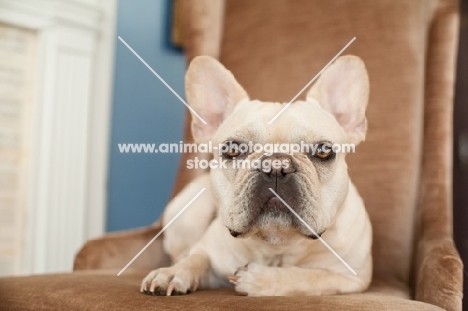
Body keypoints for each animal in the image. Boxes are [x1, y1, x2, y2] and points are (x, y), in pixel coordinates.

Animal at [141, 55, 372, 298]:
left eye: (323, 151)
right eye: (232, 149)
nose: (276, 165)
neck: (277, 245)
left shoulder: (351, 278)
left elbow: (310, 276)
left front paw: (260, 279)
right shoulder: (206, 250)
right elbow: (195, 259)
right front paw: (172, 273)